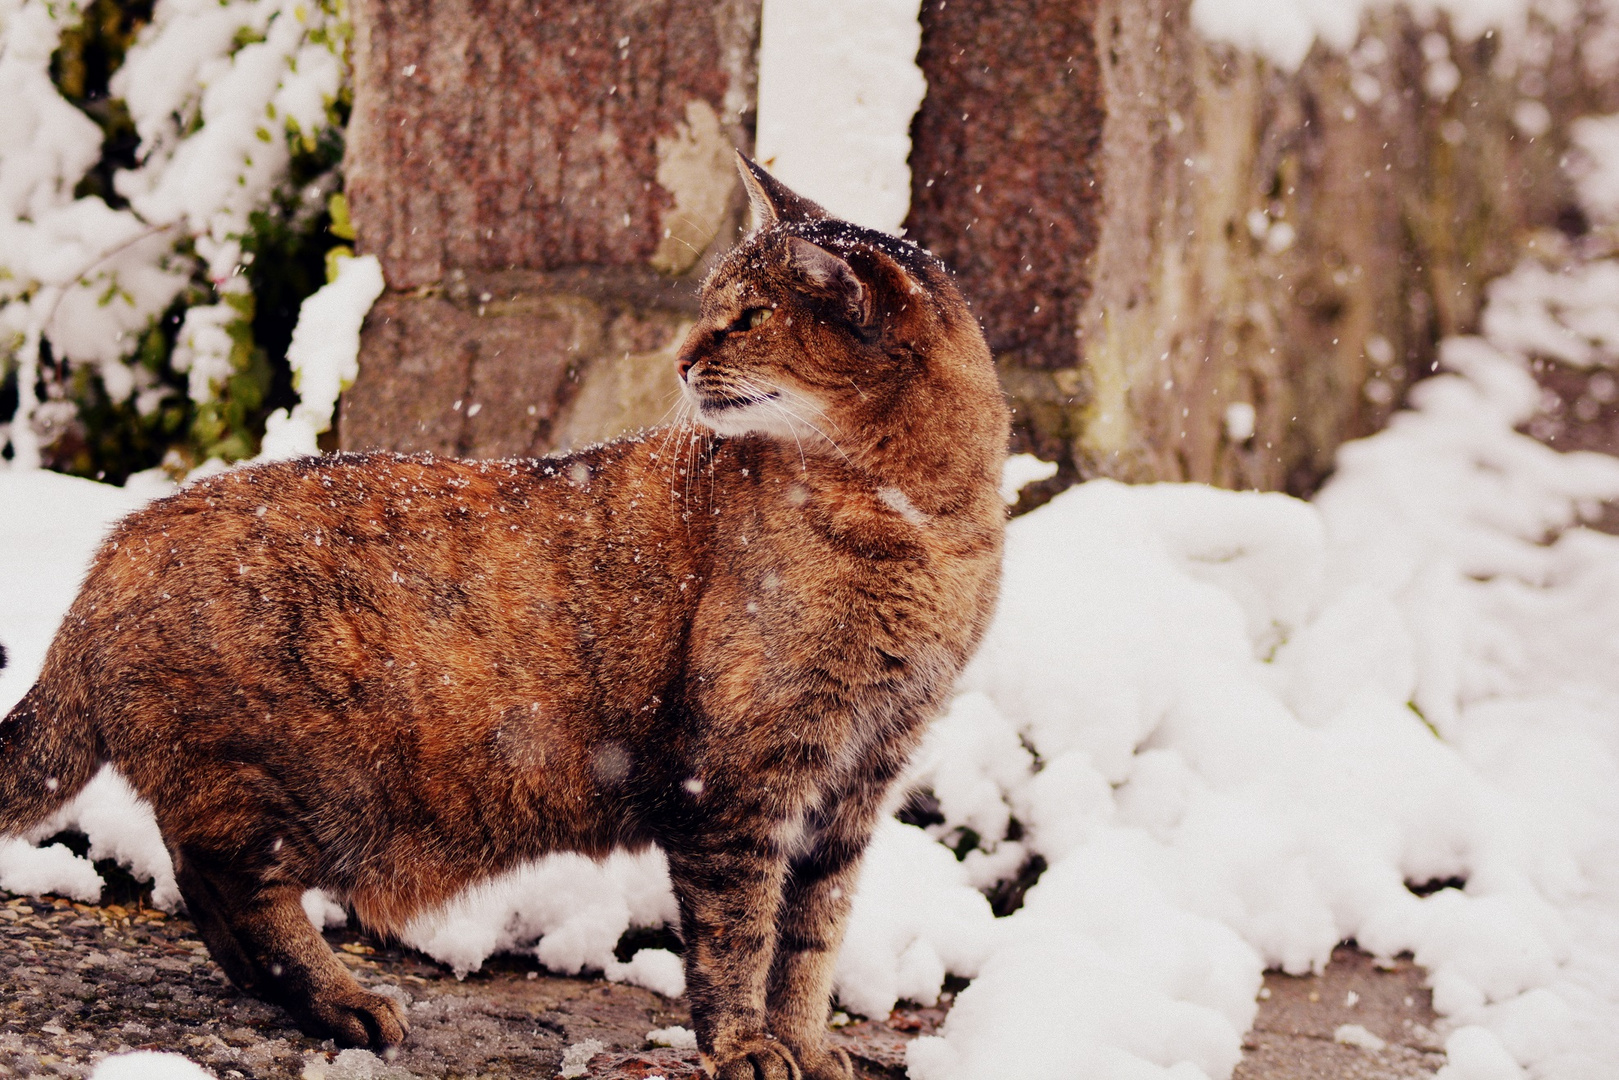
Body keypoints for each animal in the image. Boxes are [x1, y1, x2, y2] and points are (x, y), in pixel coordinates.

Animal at [0, 158, 1003, 1080]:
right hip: (297, 790)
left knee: (207, 887)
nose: (681, 355)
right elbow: (740, 937)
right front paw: (747, 1049)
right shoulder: (740, 783)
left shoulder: (858, 780)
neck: (929, 529)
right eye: (716, 307)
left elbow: (810, 939)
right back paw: (343, 1000)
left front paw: (806, 1047)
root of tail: (114, 552)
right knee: (229, 881)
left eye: (750, 316)